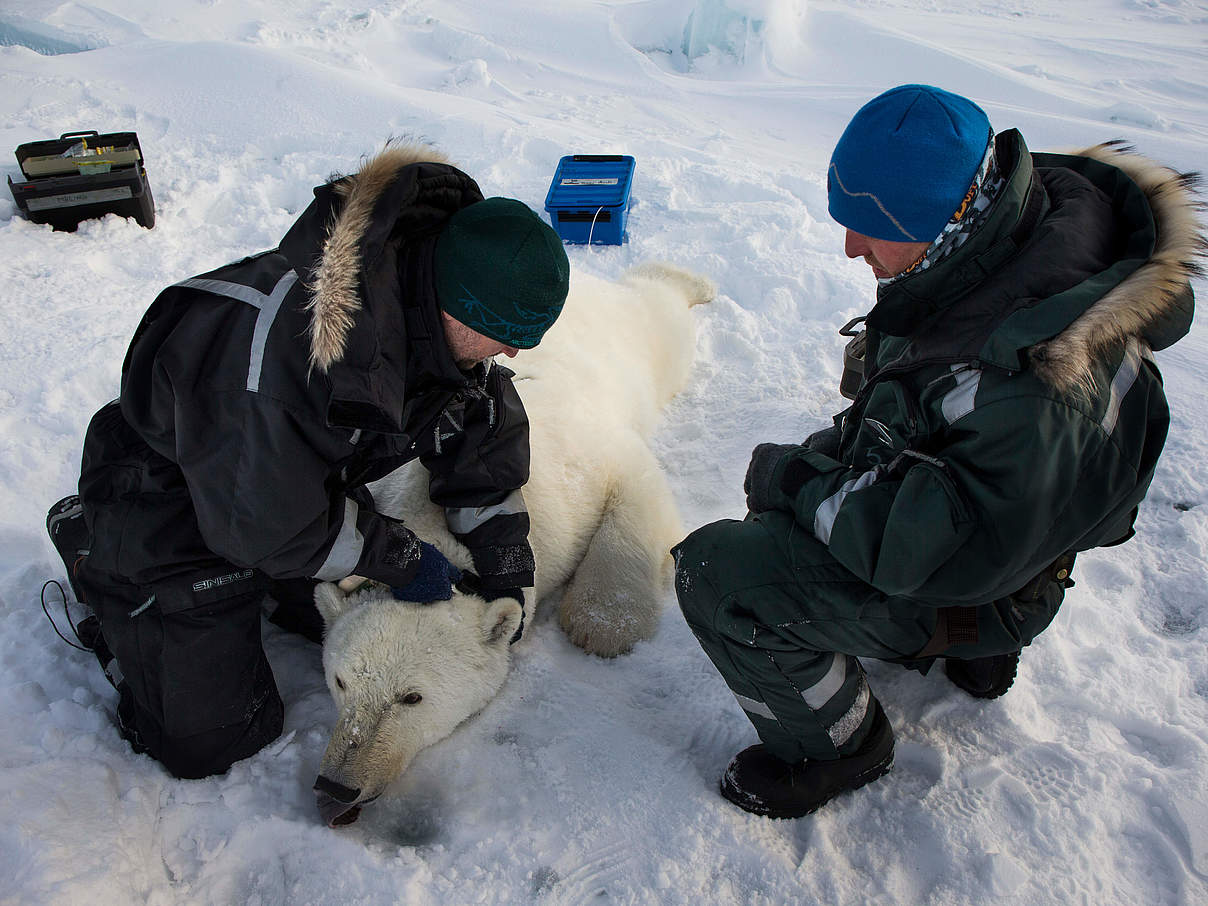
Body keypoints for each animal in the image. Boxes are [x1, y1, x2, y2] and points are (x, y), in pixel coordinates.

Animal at [306, 262, 715, 831]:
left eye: (411, 697)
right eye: (341, 681)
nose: (337, 786)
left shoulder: (584, 466)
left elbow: (634, 489)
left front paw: (603, 625)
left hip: (636, 344)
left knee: (661, 321)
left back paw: (692, 283)